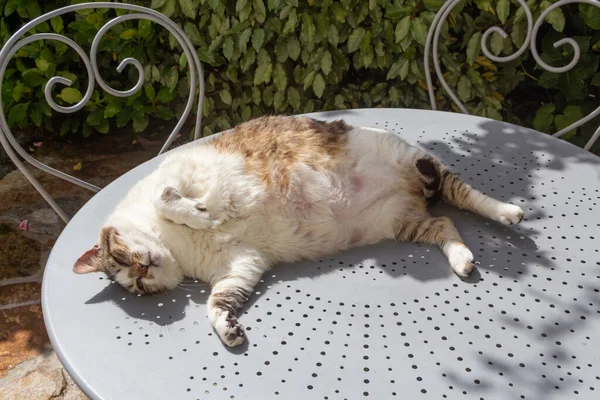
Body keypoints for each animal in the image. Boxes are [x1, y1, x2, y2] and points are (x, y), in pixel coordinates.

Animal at [72, 115, 524, 346]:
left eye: (121, 257)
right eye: (136, 287)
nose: (143, 269)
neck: (176, 247)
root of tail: (413, 190)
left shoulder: (181, 174)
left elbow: (170, 198)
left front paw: (198, 214)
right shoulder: (240, 265)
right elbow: (216, 303)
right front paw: (227, 329)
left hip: (410, 158)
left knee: (461, 192)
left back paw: (507, 212)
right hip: (404, 222)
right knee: (445, 220)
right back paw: (462, 259)